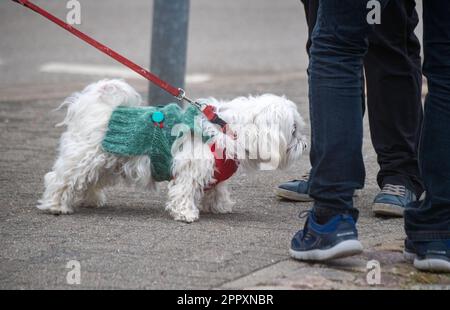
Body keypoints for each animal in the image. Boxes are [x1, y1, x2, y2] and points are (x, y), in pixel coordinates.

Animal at [37, 78, 306, 222]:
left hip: (106, 162)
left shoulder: (215, 172)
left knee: (88, 181)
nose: (305, 144)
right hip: (86, 158)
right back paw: (56, 205)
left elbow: (217, 189)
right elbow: (185, 191)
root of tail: (100, 109)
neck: (226, 129)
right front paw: (186, 213)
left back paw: (90, 200)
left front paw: (220, 206)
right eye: (293, 130)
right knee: (60, 179)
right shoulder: (191, 168)